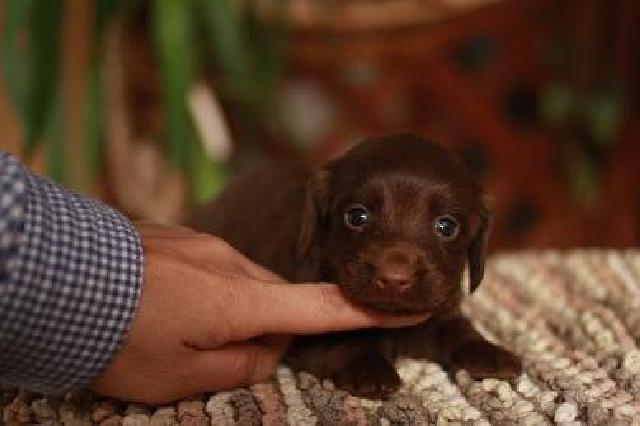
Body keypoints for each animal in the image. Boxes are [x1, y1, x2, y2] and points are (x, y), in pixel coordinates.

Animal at [190, 134, 520, 400]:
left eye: (447, 226)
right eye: (357, 216)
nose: (394, 278)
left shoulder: (439, 311)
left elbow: (457, 329)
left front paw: (489, 352)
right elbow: (345, 339)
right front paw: (369, 368)